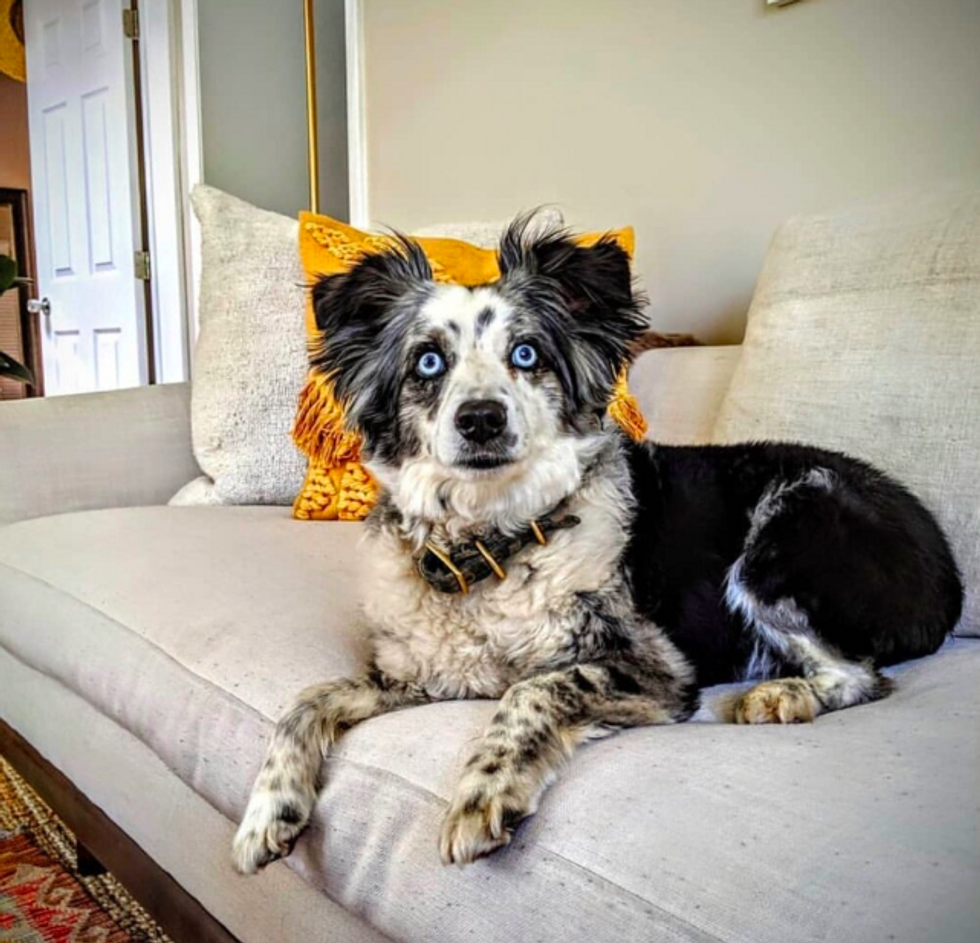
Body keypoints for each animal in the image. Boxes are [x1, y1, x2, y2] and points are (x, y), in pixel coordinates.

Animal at [232, 214, 964, 872]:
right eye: (428, 362)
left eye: (526, 354)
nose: (481, 419)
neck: (493, 545)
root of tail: (949, 568)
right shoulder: (424, 675)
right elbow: (306, 699)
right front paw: (267, 810)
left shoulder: (656, 672)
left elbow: (533, 690)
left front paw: (484, 791)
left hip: (784, 529)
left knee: (863, 675)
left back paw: (783, 694)